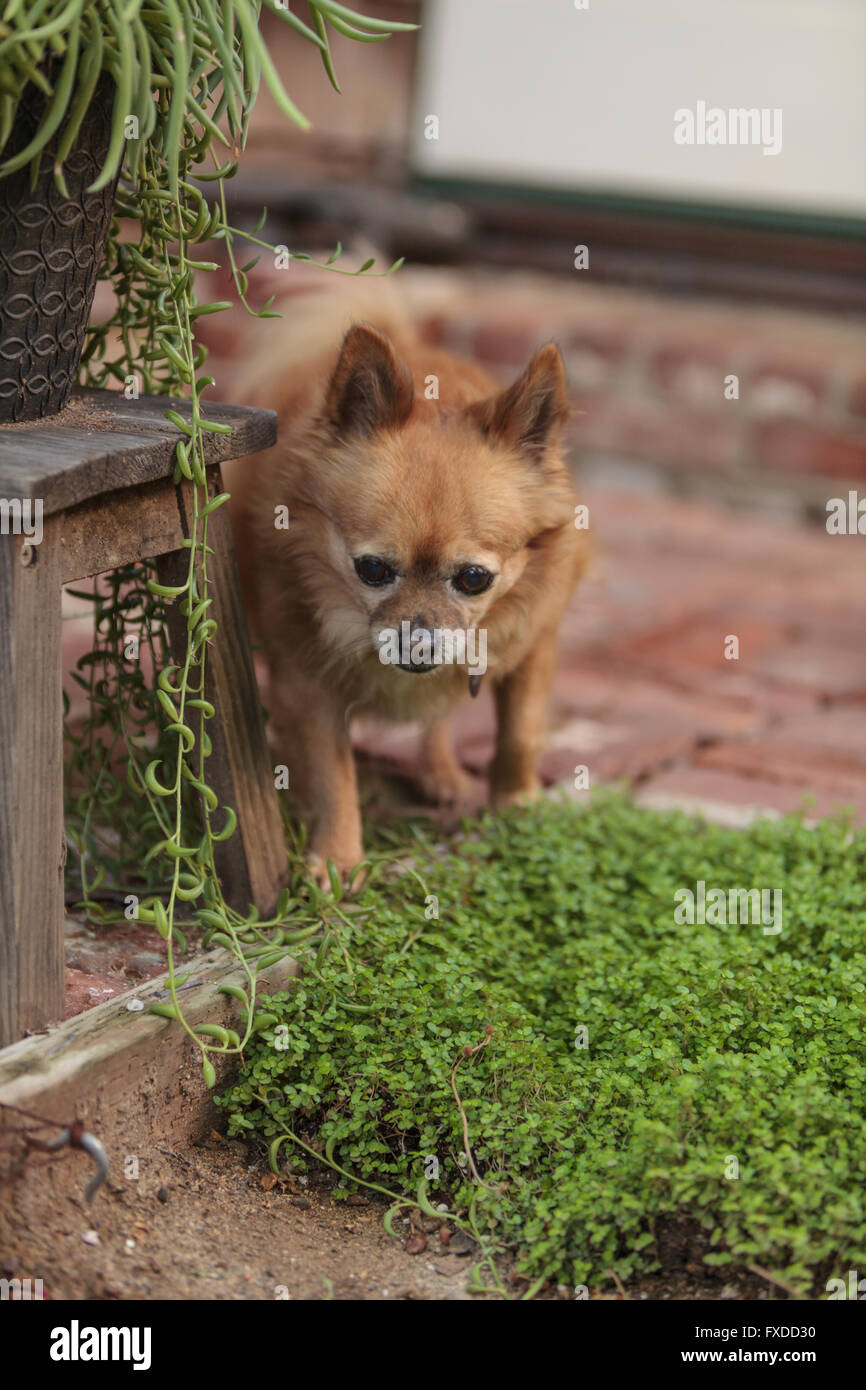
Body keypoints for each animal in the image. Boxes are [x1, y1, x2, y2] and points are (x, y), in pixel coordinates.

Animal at [225, 278, 589, 884]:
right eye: (371, 570)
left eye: (474, 579)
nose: (419, 648)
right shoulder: (305, 680)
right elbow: (332, 772)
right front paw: (338, 859)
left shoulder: (533, 646)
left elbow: (521, 733)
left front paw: (517, 807)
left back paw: (441, 772)